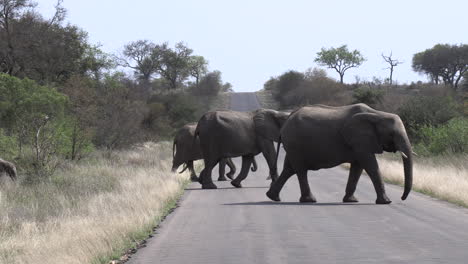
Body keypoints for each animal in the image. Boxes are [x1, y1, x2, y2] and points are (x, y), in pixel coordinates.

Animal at [266, 103, 414, 204]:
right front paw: (386, 202)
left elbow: (358, 168)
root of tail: (286, 121)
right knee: (300, 170)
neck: (377, 114)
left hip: (293, 144)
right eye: (392, 134)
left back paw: (273, 197)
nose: (402, 198)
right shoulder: (360, 141)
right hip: (295, 142)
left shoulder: (359, 142)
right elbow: (370, 165)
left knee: (289, 169)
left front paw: (351, 201)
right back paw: (309, 200)